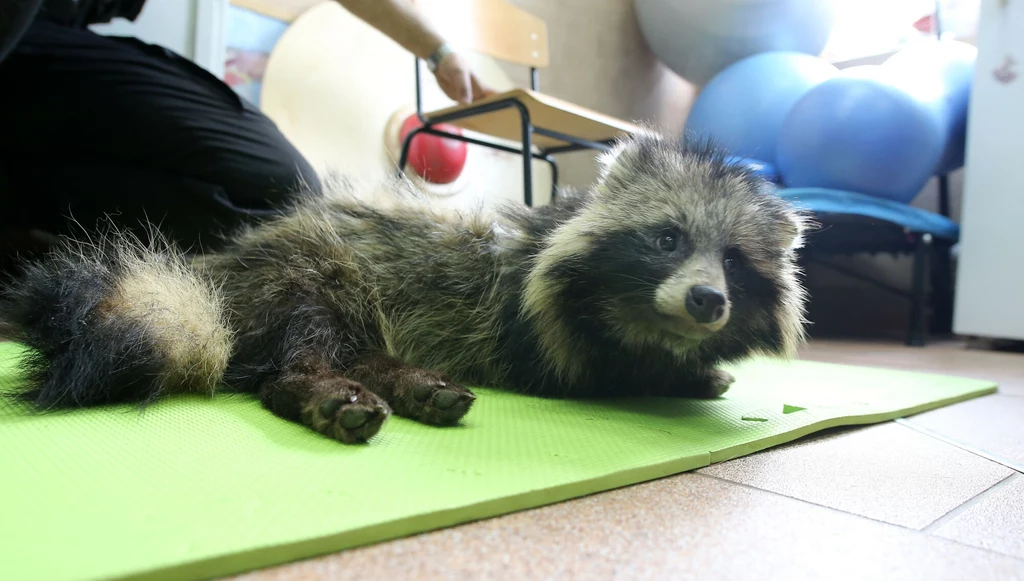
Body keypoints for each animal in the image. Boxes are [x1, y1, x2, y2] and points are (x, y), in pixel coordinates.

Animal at [2, 129, 806, 442]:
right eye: (669, 238)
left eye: (735, 263)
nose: (707, 300)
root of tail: (217, 271)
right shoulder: (536, 328)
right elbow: (603, 371)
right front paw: (664, 373)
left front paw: (691, 366)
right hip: (313, 269)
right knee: (302, 346)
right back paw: (325, 385)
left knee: (356, 344)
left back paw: (407, 380)